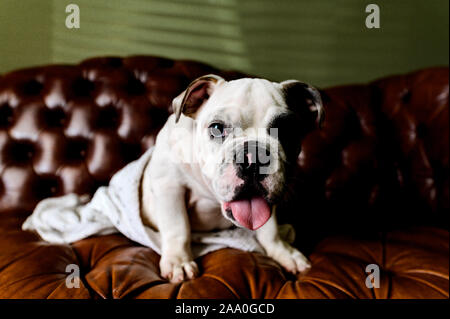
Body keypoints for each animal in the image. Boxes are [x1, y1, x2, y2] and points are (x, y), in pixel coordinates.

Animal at [141, 74, 324, 282]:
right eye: (217, 128)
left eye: (286, 131)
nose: (254, 157)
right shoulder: (170, 187)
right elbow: (177, 227)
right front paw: (179, 261)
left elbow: (270, 230)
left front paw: (284, 252)